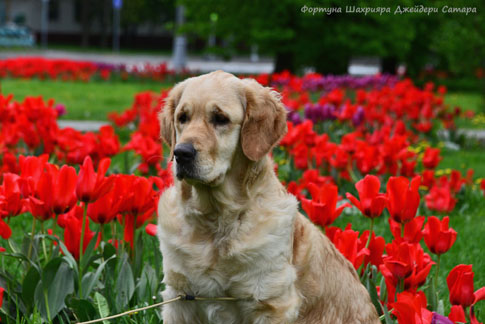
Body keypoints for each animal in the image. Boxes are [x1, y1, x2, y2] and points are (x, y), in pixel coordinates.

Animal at [157, 71, 380, 324]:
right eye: (182, 117)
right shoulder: (180, 298)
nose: (181, 153)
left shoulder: (270, 303)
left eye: (220, 118)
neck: (216, 221)